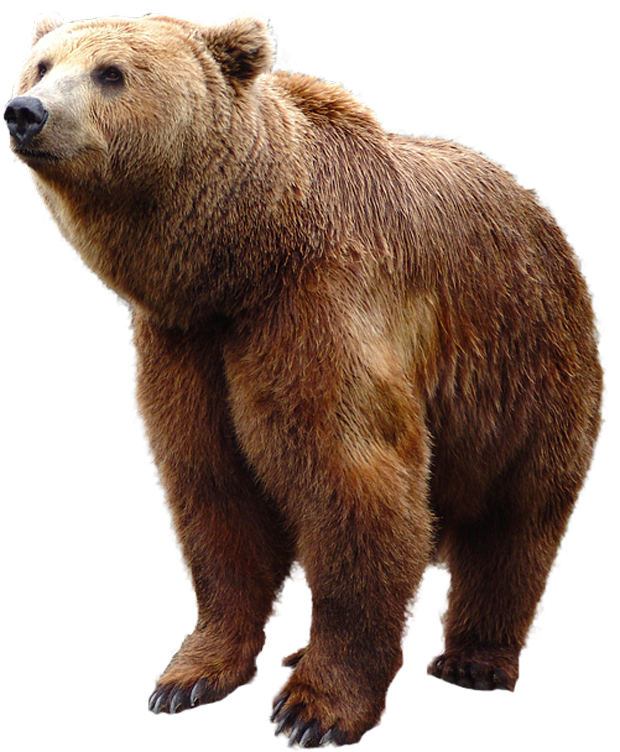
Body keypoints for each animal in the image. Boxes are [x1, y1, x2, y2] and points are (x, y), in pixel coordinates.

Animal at [5, 9, 605, 750]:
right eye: (41, 65)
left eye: (110, 73)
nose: (26, 112)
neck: (239, 259)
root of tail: (540, 210)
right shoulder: (187, 344)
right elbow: (214, 492)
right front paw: (186, 678)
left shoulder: (320, 307)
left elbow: (354, 481)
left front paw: (312, 709)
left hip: (523, 366)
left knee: (514, 519)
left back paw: (474, 659)